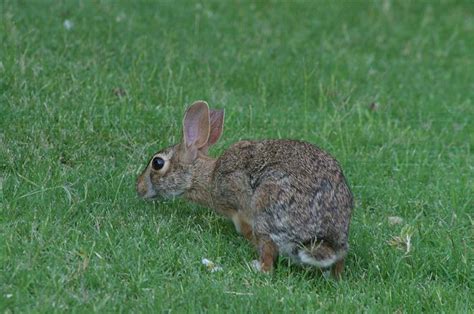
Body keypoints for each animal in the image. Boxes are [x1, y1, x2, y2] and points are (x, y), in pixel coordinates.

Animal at [136, 100, 352, 278]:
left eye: (157, 163)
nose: (139, 188)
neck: (209, 176)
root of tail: (325, 237)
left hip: (266, 213)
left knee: (268, 260)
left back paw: (254, 266)